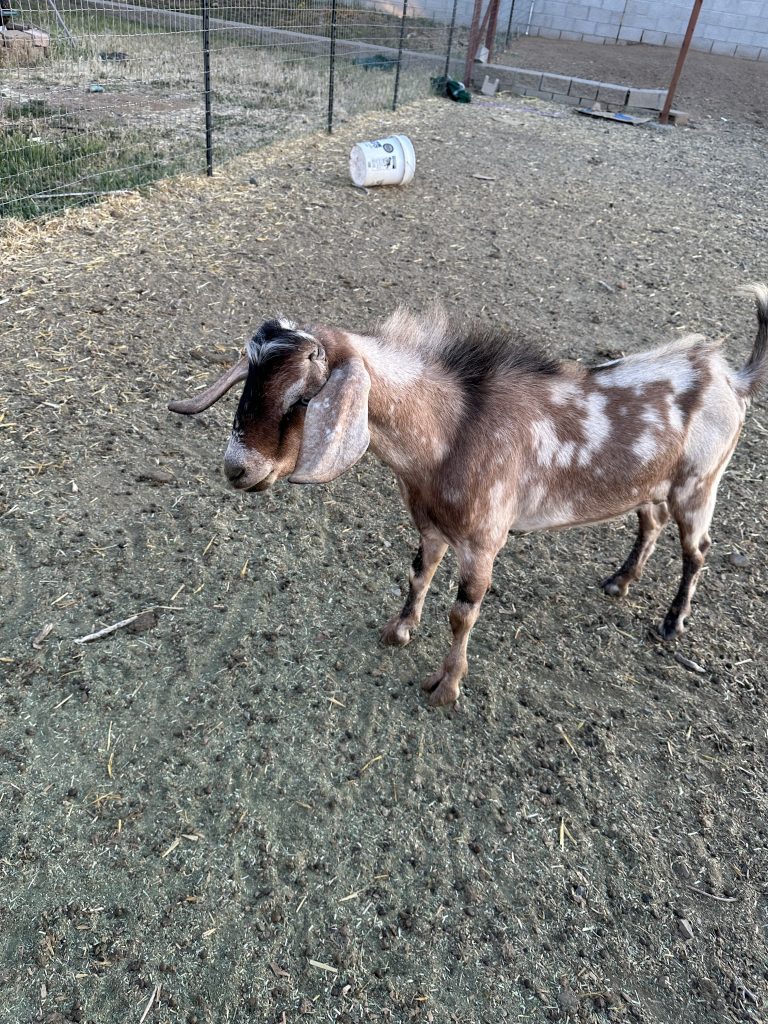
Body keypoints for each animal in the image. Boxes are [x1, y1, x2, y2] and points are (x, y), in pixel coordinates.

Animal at [169, 287, 767, 706]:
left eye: (301, 397)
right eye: (248, 382)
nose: (238, 468)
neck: (451, 431)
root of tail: (731, 377)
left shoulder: (483, 540)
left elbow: (462, 613)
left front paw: (446, 687)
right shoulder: (430, 524)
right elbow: (417, 573)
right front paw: (399, 629)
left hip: (700, 483)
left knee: (698, 550)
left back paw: (672, 622)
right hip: (652, 484)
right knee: (651, 522)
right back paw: (620, 581)